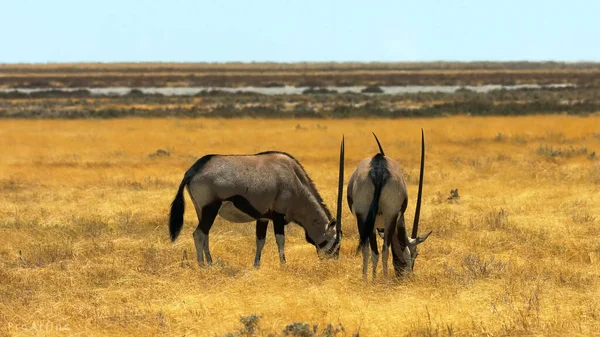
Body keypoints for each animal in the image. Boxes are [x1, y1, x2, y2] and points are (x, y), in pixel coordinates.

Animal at [170, 138, 346, 266]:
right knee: (199, 233)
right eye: (335, 242)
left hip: (201, 211)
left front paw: (256, 265)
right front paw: (283, 264)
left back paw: (211, 263)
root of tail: (193, 170)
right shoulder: (278, 215)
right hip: (210, 209)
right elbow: (280, 240)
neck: (296, 181)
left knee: (205, 234)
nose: (333, 262)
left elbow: (260, 240)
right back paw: (203, 266)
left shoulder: (263, 217)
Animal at [346, 130, 432, 276]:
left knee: (371, 249)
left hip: (367, 217)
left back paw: (371, 279)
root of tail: (379, 168)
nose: (406, 275)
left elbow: (374, 252)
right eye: (416, 254)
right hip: (387, 216)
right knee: (380, 250)